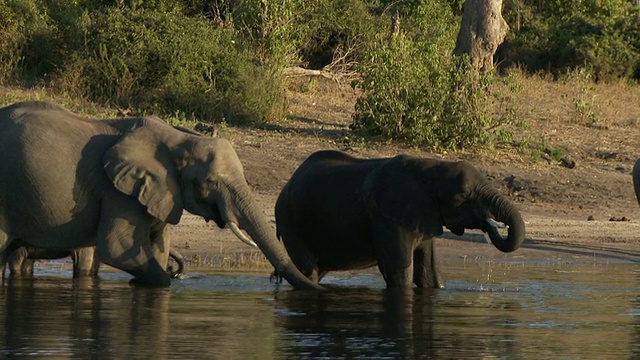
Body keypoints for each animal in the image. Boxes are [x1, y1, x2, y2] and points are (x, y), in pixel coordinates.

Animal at [0, 101, 320, 290]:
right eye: (210, 182)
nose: (275, 278)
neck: (178, 138)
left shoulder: (160, 192)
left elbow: (157, 245)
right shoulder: (117, 191)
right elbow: (117, 247)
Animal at [276, 150, 524, 288]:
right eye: (462, 194)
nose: (491, 223)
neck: (431, 168)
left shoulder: (423, 215)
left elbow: (428, 274)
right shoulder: (388, 219)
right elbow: (400, 273)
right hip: (289, 221)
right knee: (307, 269)